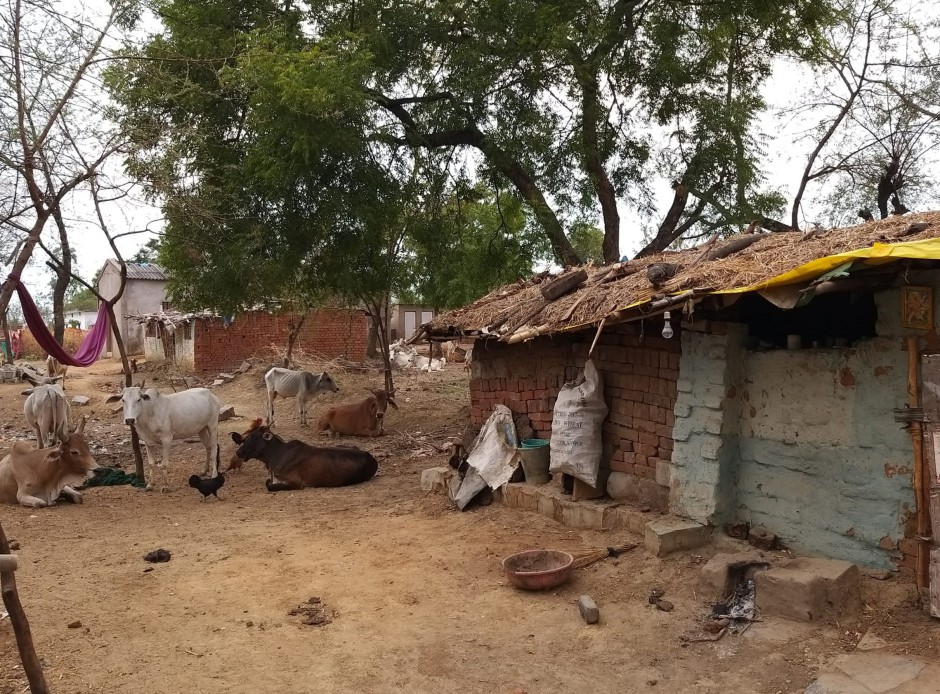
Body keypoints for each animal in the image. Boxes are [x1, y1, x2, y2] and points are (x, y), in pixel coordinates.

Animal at [231, 426, 378, 492]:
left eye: (253, 437)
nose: (238, 451)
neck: (276, 455)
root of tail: (370, 456)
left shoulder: (296, 483)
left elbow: (270, 485)